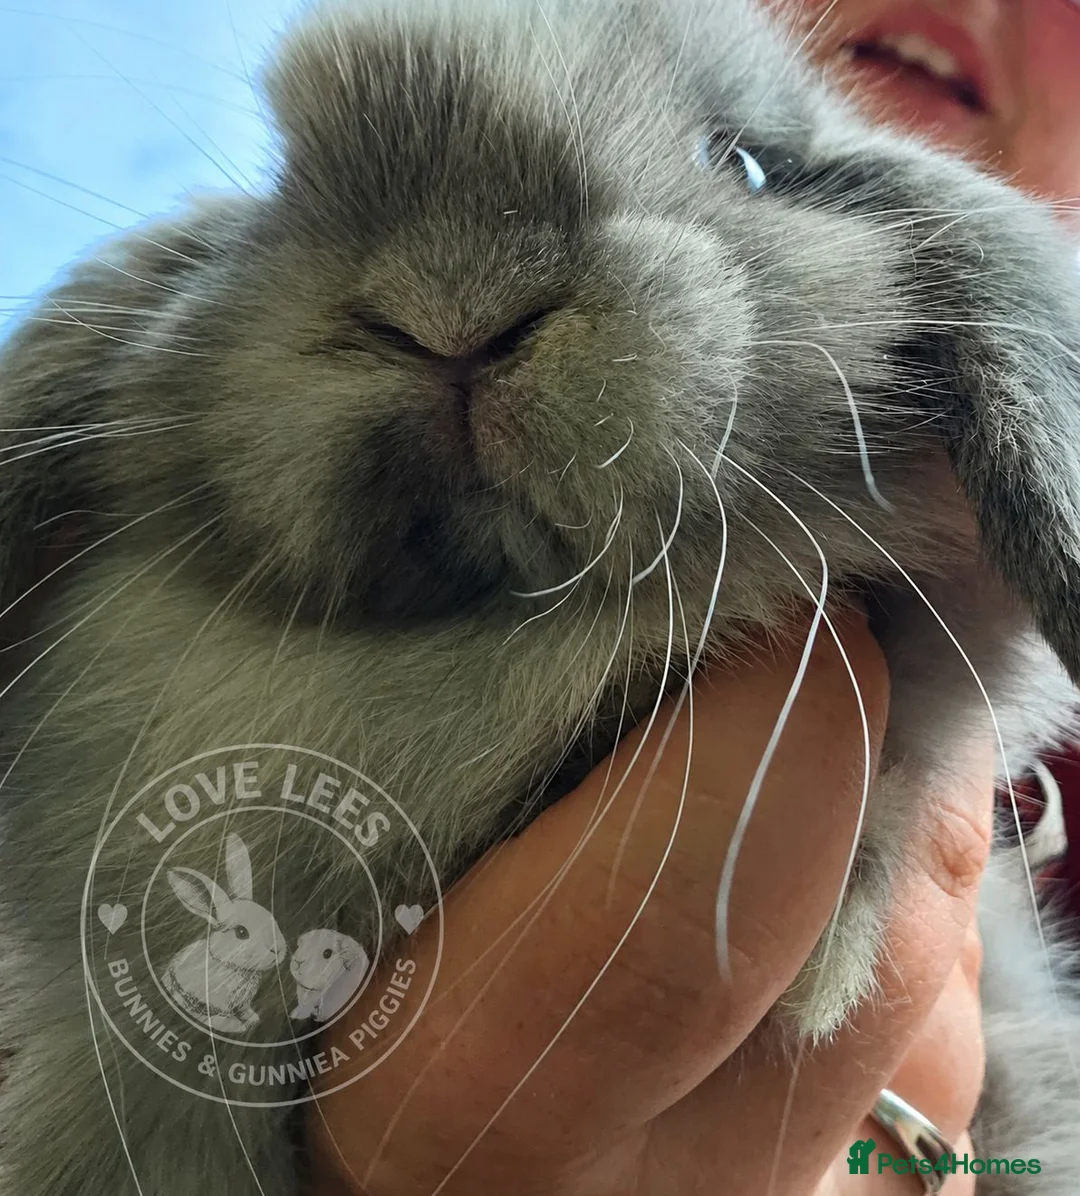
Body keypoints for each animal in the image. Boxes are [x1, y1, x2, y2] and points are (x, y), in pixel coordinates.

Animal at [162, 833, 288, 1034]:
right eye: (241, 932)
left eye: (271, 917)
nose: (277, 950)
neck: (230, 966)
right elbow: (221, 1019)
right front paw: (240, 1027)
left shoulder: (243, 1004)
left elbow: (245, 1011)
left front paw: (253, 1019)